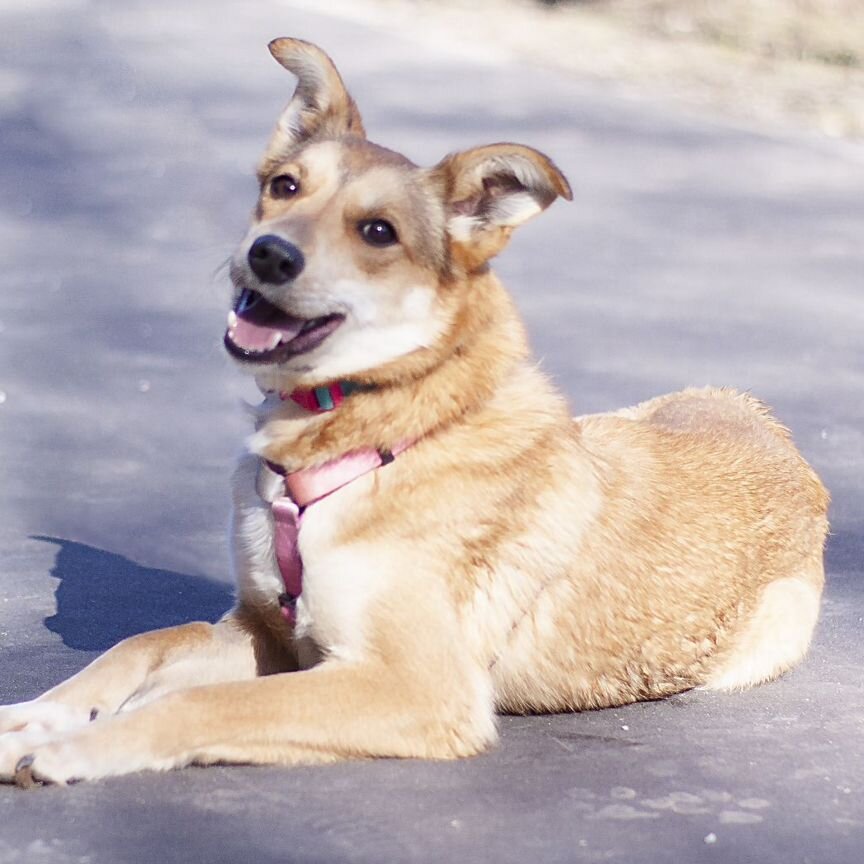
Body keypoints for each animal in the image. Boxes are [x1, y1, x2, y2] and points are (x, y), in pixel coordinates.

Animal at [0, 38, 828, 784]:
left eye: (378, 232)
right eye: (284, 186)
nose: (267, 254)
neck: (378, 426)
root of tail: (779, 437)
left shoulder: (419, 687)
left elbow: (203, 705)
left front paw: (77, 749)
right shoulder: (264, 630)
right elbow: (142, 643)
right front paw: (32, 718)